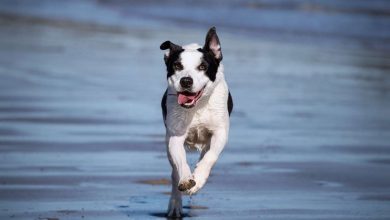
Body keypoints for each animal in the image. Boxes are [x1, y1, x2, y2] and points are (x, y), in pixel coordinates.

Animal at [160, 27, 233, 217]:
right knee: (174, 173)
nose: (186, 80)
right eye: (177, 66)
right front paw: (187, 179)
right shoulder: (175, 136)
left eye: (203, 67)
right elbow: (180, 162)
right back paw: (175, 205)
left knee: (205, 153)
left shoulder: (220, 132)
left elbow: (211, 156)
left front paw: (198, 179)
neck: (197, 106)